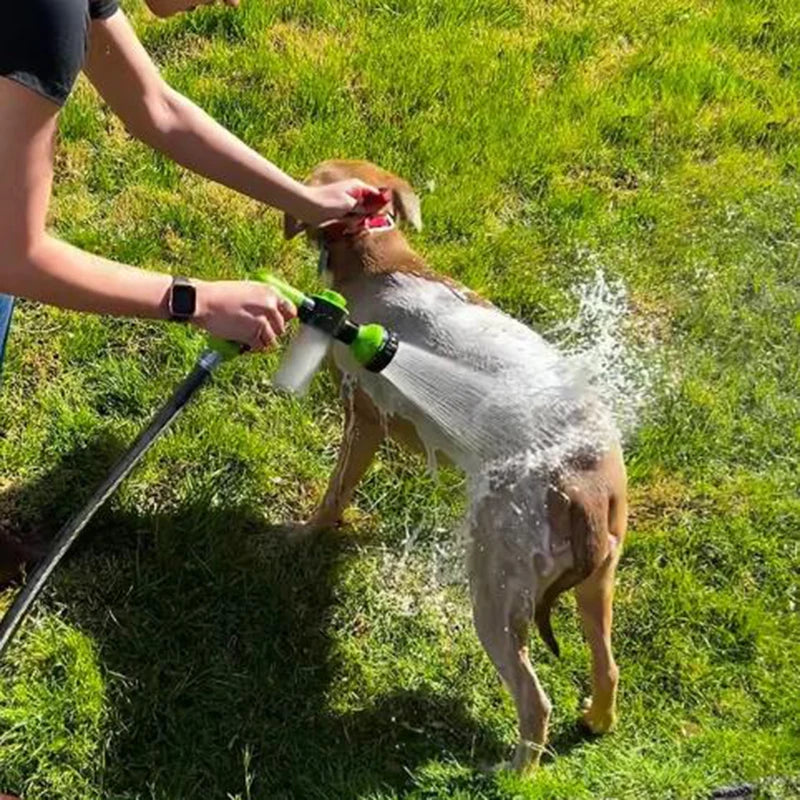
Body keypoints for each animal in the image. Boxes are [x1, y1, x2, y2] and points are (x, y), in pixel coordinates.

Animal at [284, 161, 628, 768]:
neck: (380, 258)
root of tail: (584, 491)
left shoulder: (363, 417)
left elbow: (334, 494)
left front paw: (303, 533)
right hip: (598, 581)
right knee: (607, 667)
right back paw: (595, 720)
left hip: (496, 593)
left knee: (535, 701)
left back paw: (514, 772)